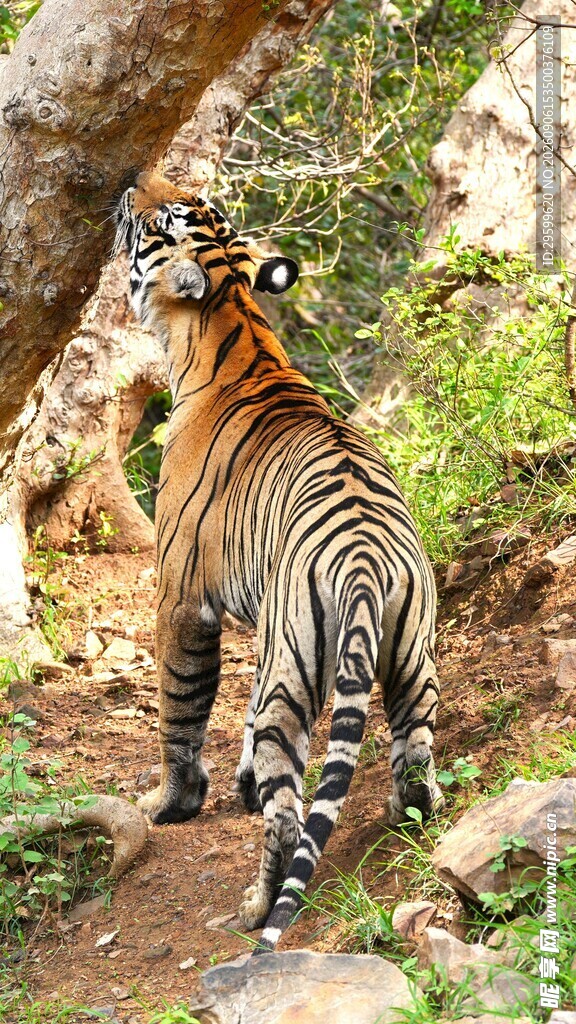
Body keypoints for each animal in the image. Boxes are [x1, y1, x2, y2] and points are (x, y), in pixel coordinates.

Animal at [114, 171, 444, 953]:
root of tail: (365, 561)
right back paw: (409, 816)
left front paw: (171, 801)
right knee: (414, 754)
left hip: (296, 681)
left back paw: (255, 906)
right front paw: (229, 785)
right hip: (410, 657)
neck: (233, 321)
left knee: (290, 815)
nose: (133, 182)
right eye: (193, 203)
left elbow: (180, 708)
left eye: (163, 217)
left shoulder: (181, 596)